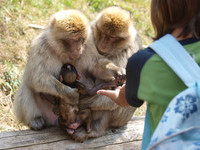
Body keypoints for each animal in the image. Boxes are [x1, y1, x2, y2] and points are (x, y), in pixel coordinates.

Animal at [71, 5, 143, 142]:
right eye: (104, 34)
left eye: (113, 38)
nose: (103, 44)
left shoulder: (131, 50)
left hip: (120, 120)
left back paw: (95, 127)